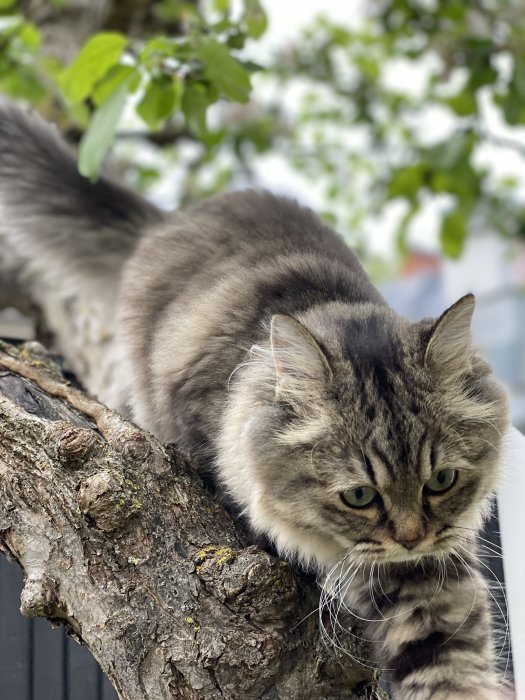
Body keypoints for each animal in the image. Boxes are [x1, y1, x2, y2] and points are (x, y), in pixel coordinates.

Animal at [0, 101, 510, 696]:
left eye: (442, 481)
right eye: (359, 496)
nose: (411, 539)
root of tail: (171, 218)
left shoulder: (431, 573)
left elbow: (450, 659)